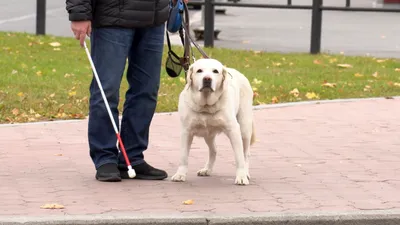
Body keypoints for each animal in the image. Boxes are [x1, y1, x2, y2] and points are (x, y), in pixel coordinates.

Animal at [170, 58, 255, 186]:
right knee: (214, 150)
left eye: (215, 71)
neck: (206, 106)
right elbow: (183, 156)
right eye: (199, 71)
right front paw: (180, 174)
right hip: (208, 134)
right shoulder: (186, 132)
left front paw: (241, 176)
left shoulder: (234, 130)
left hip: (244, 128)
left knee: (246, 153)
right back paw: (207, 169)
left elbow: (239, 157)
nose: (207, 79)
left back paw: (246, 172)